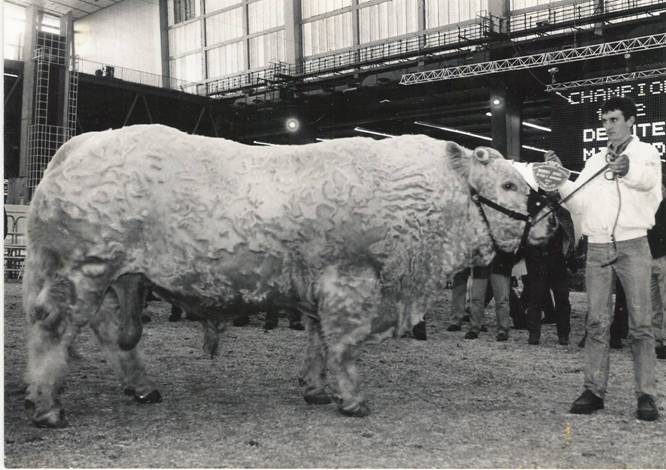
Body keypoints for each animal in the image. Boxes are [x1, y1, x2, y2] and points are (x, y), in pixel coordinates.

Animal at [22, 124, 556, 427]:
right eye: (509, 184)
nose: (550, 222)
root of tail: (80, 143)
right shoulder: (352, 279)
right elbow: (344, 344)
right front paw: (352, 399)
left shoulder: (324, 285)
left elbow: (318, 340)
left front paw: (315, 388)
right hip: (85, 270)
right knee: (54, 329)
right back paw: (48, 406)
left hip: (112, 277)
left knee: (109, 333)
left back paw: (137, 386)